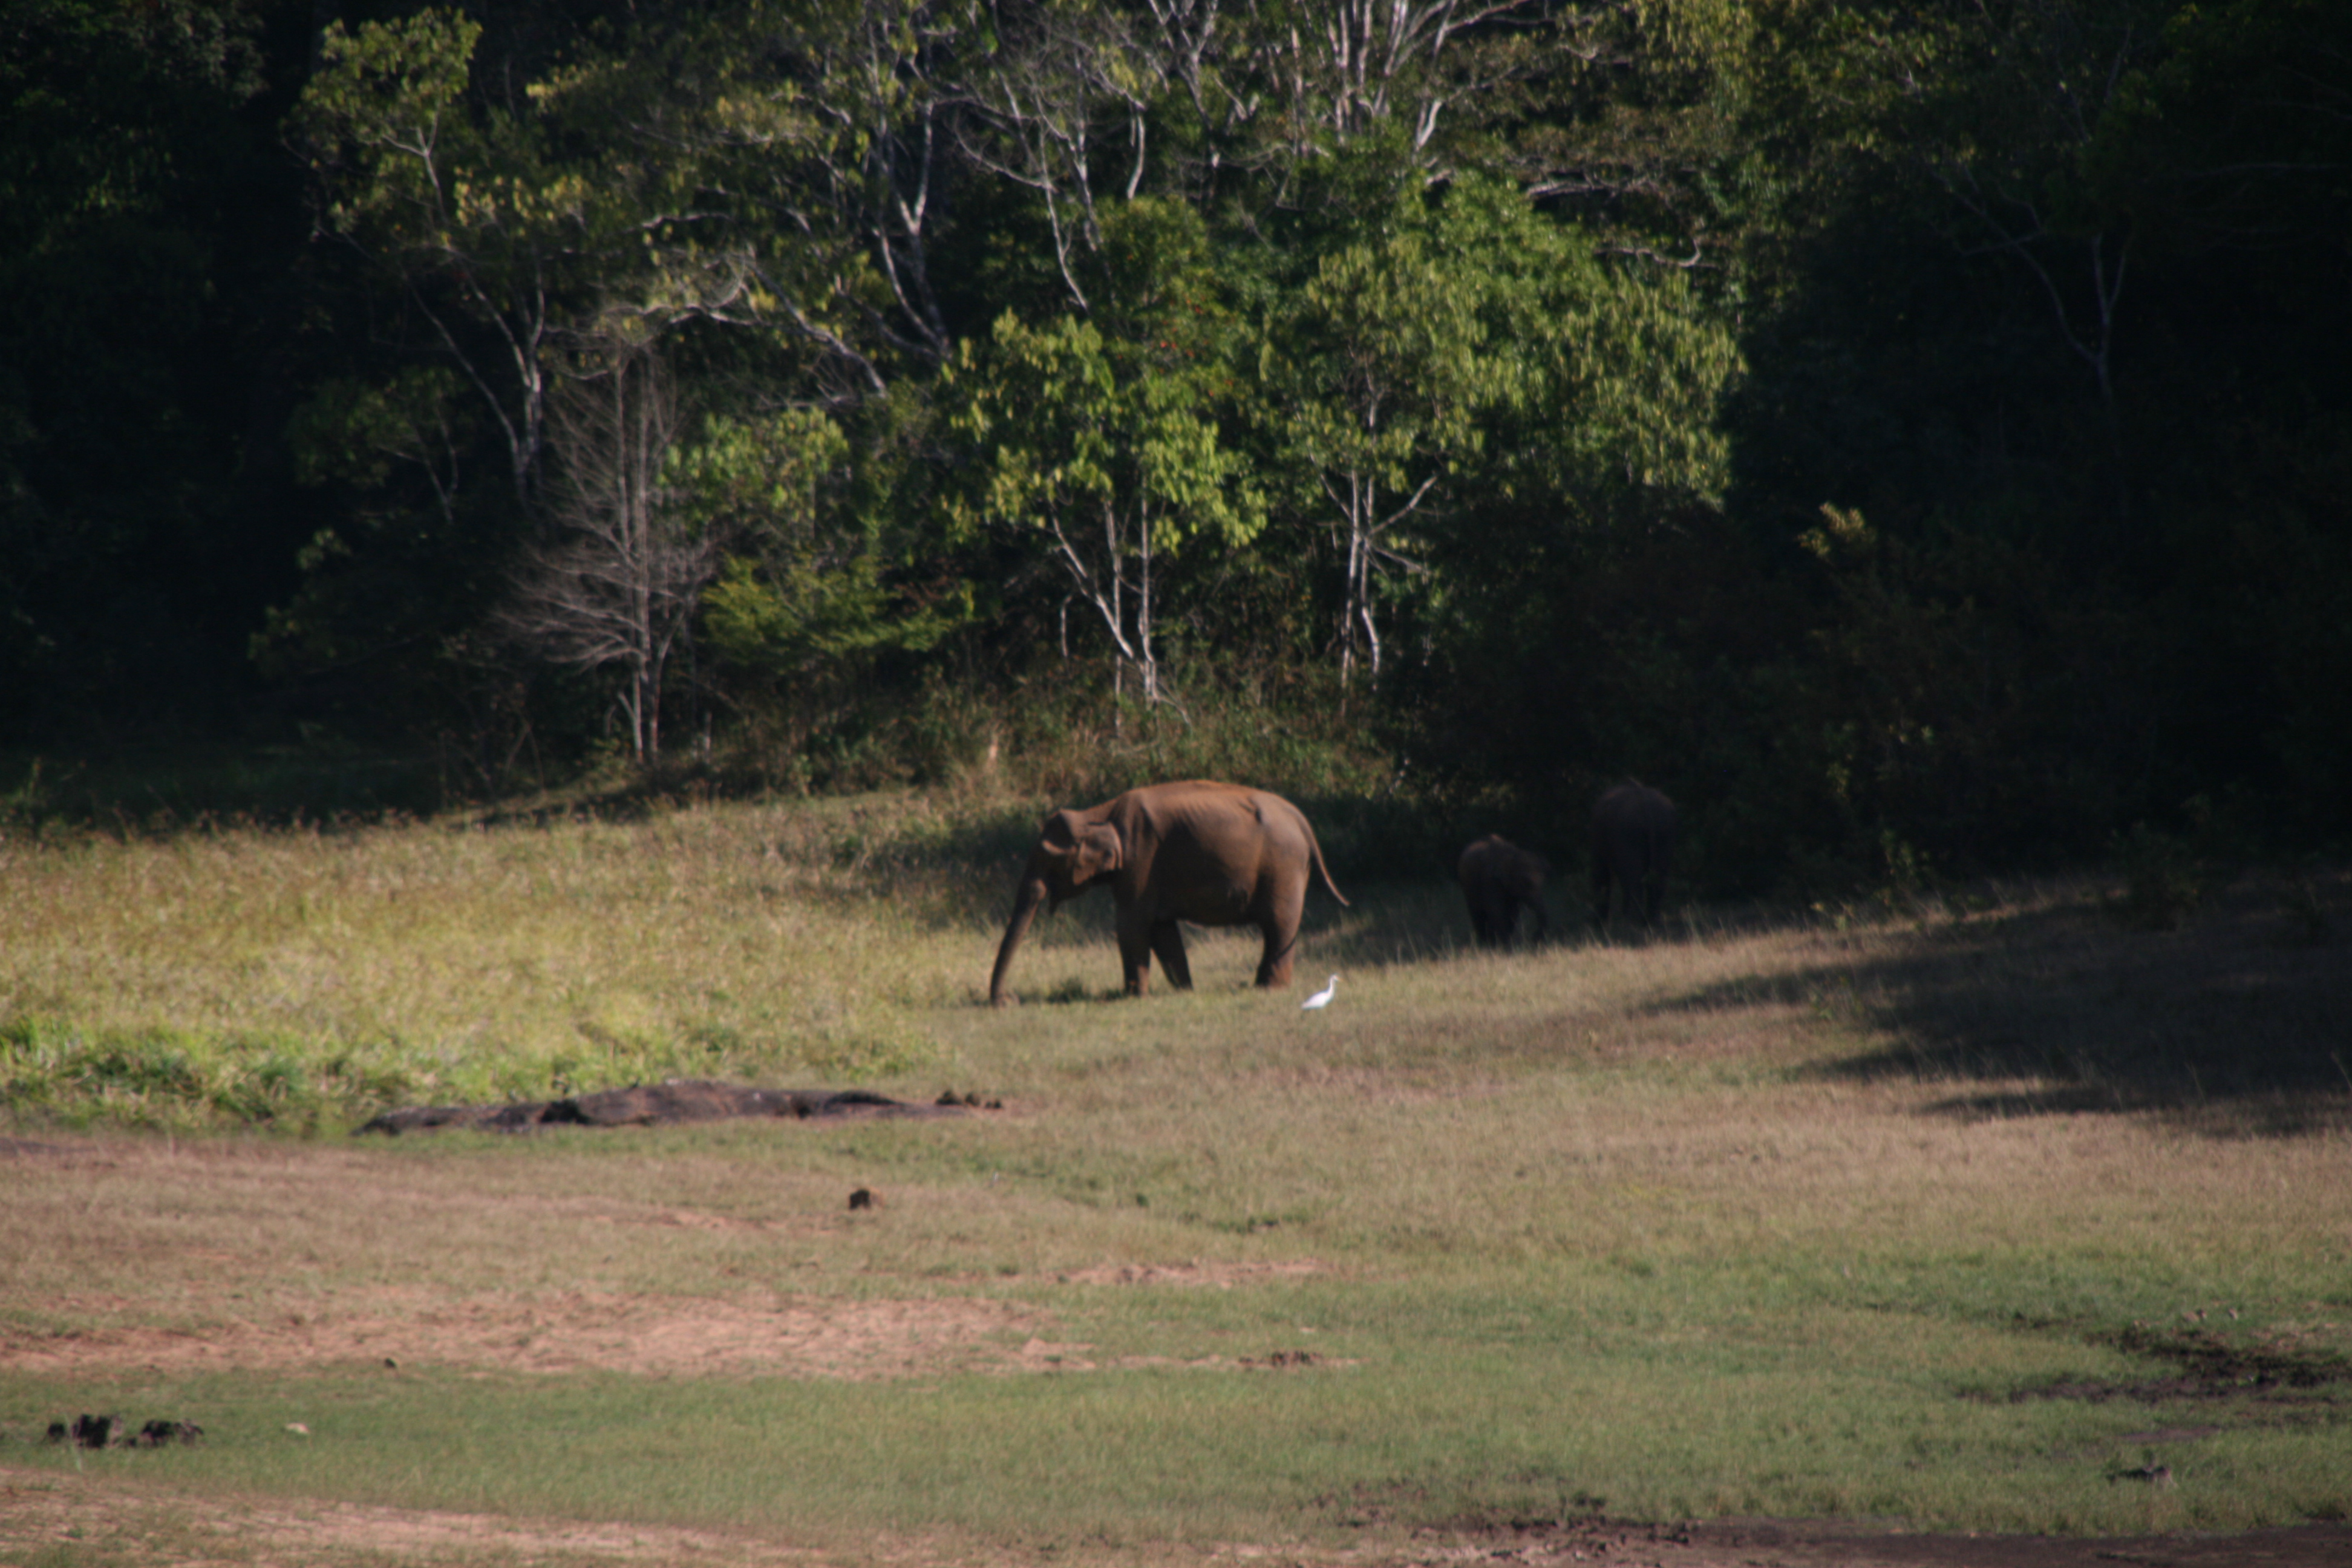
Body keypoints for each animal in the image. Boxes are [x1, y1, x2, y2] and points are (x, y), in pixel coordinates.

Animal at [987, 780, 1349, 1005]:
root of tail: (1301, 820)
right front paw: (1184, 991)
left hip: (1284, 867)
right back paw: (1259, 986)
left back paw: (1271, 990)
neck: (1098, 813)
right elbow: (1163, 932)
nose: (1007, 1001)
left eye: (1046, 859)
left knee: (1278, 924)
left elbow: (1130, 926)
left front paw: (1133, 997)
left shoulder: (1140, 860)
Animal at [1457, 834, 1550, 948]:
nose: (1534, 937)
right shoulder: (1489, 881)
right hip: (1467, 888)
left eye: (1543, 880)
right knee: (1478, 914)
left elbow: (1512, 913)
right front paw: (1504, 947)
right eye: (1526, 883)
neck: (1511, 855)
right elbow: (1497, 910)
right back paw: (1485, 944)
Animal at [1590, 780, 1676, 930]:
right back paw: (1653, 923)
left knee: (1634, 881)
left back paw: (1631, 924)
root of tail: (1645, 803)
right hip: (1665, 830)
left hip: (1629, 832)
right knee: (1658, 879)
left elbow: (1601, 874)